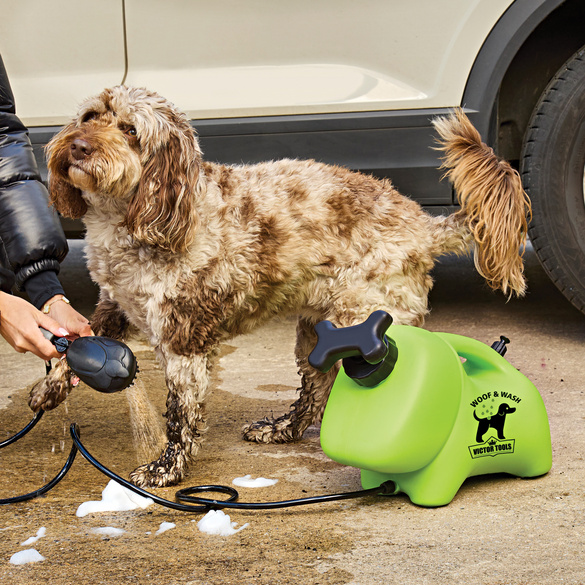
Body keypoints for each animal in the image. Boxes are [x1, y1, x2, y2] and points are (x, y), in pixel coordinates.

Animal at [29, 86, 532, 488]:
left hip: (369, 324)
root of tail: (423, 225)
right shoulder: (114, 306)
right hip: (317, 334)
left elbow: (180, 414)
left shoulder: (183, 338)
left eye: (131, 130)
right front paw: (48, 389)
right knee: (315, 391)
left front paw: (166, 469)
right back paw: (282, 429)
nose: (77, 145)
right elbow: (75, 345)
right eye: (90, 116)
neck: (142, 215)